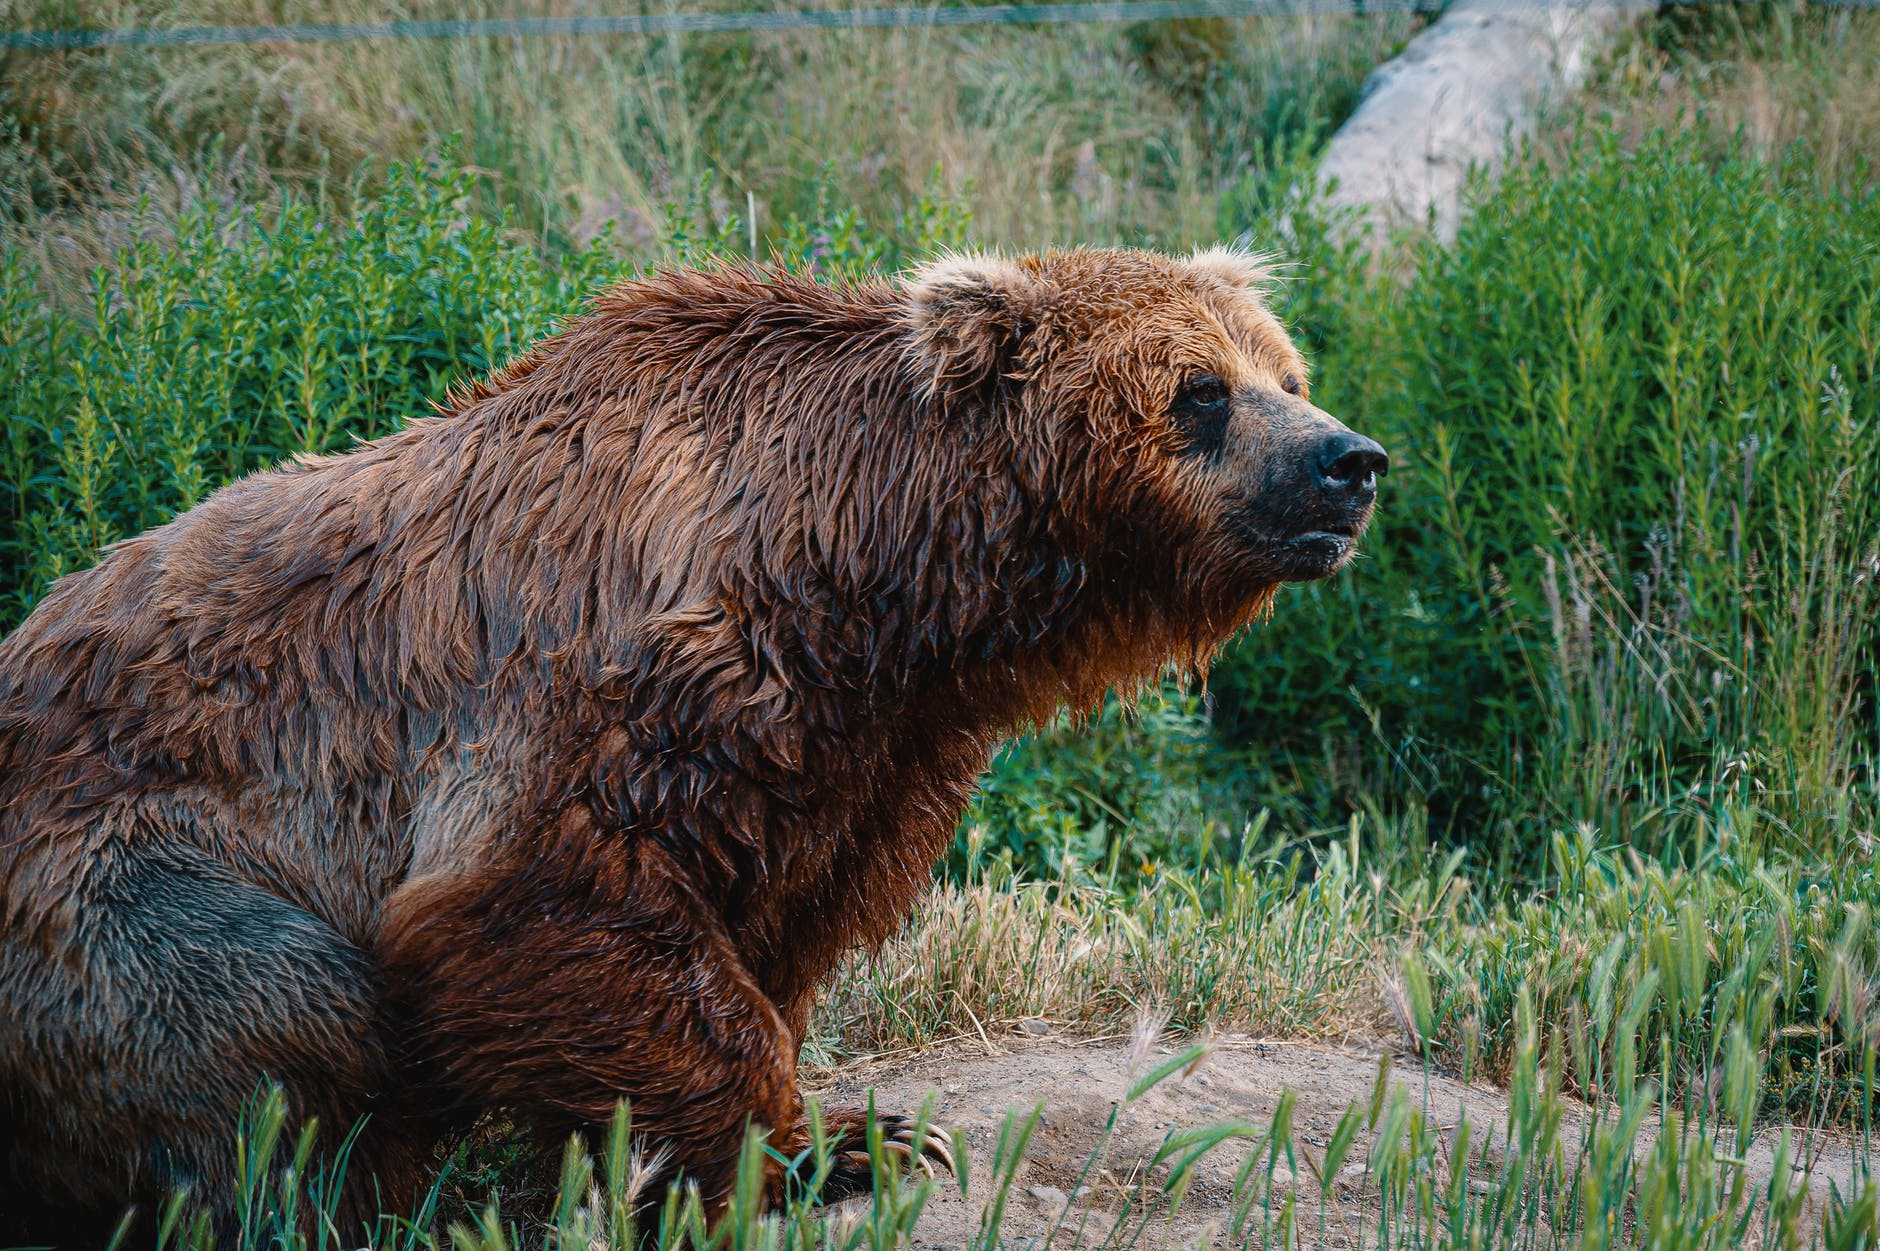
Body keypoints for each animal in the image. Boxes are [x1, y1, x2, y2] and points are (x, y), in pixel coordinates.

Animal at [0, 244, 1383, 1226]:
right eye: (1197, 393)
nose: (1347, 460)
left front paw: (810, 1137)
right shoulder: (622, 679)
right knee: (279, 1010)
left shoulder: (867, 749)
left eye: (1286, 373)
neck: (875, 577)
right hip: (111, 880)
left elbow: (775, 924)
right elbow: (545, 899)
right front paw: (840, 1148)